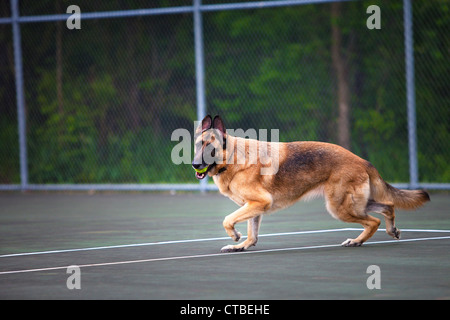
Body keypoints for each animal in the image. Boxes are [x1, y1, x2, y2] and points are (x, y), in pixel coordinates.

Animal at [192, 115, 430, 252]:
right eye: (197, 145)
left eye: (209, 147)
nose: (195, 165)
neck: (232, 158)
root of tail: (362, 160)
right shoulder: (254, 208)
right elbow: (253, 234)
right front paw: (240, 246)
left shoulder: (258, 203)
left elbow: (227, 220)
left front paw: (235, 236)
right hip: (354, 204)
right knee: (388, 206)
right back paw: (391, 231)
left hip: (339, 207)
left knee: (373, 221)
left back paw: (357, 241)